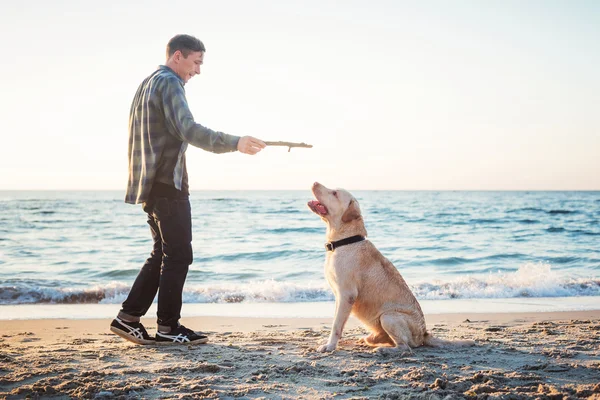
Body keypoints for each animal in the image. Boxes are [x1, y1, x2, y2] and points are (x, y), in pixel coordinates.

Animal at [310, 183, 474, 354]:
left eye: (334, 193)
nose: (315, 183)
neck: (346, 240)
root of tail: (424, 333)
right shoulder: (338, 296)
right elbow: (335, 320)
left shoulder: (347, 295)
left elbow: (336, 325)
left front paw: (329, 346)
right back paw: (371, 339)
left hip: (388, 317)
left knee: (405, 346)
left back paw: (383, 350)